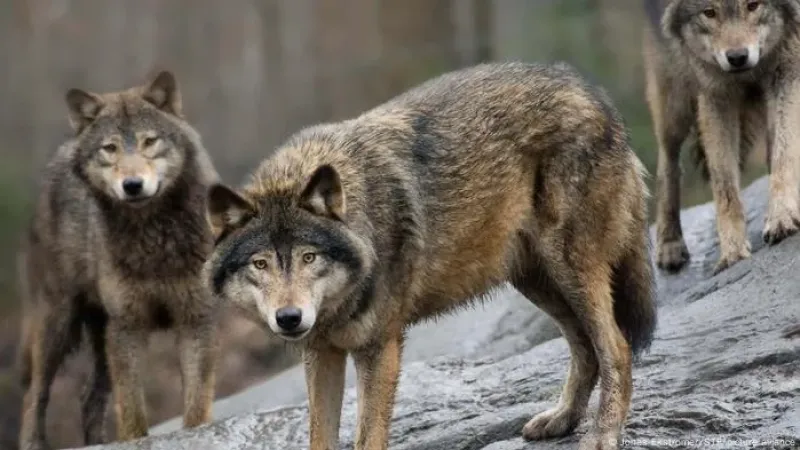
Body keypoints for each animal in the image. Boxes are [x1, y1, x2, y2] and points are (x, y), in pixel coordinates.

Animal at [17, 71, 221, 450]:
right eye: (109, 148)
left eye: (149, 142)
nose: (133, 184)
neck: (154, 238)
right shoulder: (128, 327)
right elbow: (132, 410)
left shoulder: (196, 319)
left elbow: (197, 403)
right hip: (59, 324)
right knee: (34, 395)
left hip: (99, 336)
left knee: (88, 397)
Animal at [206, 61, 657, 450]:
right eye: (260, 263)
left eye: (308, 257)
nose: (289, 318)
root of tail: (594, 94)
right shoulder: (322, 352)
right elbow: (320, 436)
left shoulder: (379, 348)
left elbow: (368, 436)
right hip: (536, 281)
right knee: (585, 349)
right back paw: (562, 419)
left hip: (570, 268)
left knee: (616, 348)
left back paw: (602, 435)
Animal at [644, 0, 800, 274]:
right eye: (709, 12)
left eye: (753, 5)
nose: (737, 58)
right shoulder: (714, 92)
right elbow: (724, 185)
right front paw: (732, 251)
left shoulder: (787, 66)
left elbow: (784, 153)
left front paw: (781, 217)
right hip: (674, 99)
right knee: (667, 163)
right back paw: (670, 244)